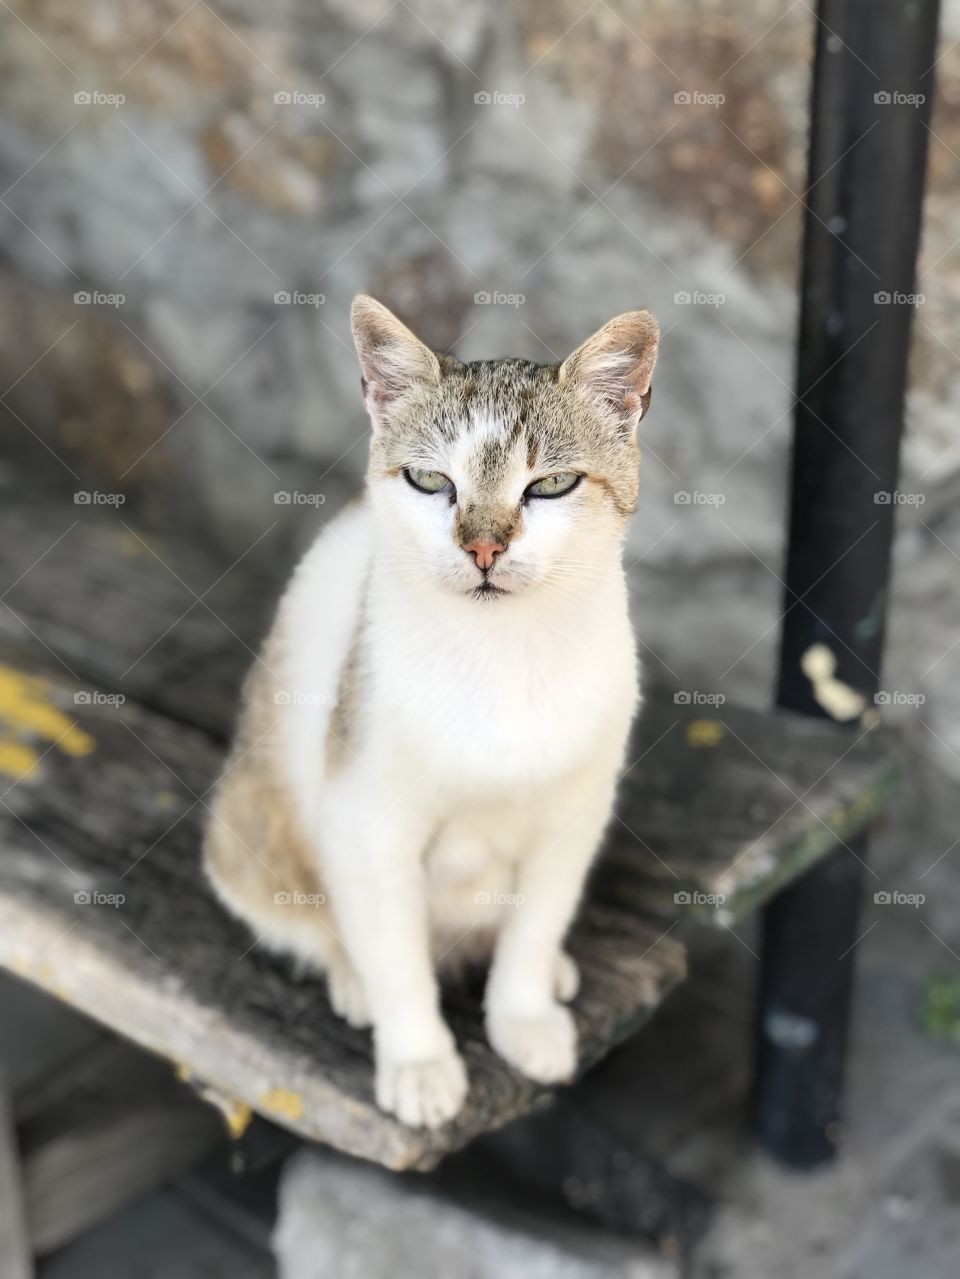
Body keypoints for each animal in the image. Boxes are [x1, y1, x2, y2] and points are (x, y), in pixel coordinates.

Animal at [203, 292, 659, 1130]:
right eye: (426, 479)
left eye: (550, 485)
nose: (482, 548)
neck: (501, 656)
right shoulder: (367, 823)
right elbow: (395, 954)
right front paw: (418, 1058)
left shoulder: (574, 817)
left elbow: (537, 920)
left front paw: (523, 1013)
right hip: (249, 837)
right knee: (323, 925)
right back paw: (353, 979)